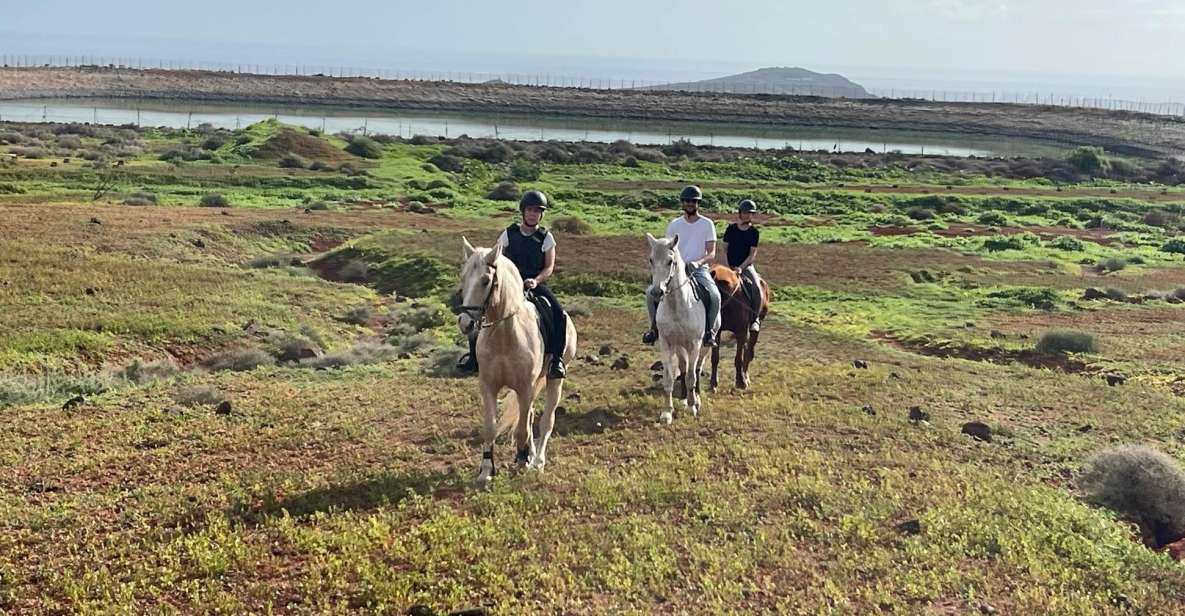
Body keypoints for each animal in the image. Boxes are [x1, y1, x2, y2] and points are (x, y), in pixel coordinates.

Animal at [457, 238, 578, 488]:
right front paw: (486, 471)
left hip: (553, 380)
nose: (465, 323)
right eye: (463, 278)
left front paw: (523, 462)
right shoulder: (489, 387)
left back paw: (537, 460)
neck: (505, 335)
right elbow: (491, 427)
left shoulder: (525, 387)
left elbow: (523, 429)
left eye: (485, 280)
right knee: (530, 417)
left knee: (546, 421)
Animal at [644, 233, 715, 426]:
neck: (678, 305)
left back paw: (695, 399)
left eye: (670, 261)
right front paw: (667, 412)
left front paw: (692, 407)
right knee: (683, 368)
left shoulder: (695, 344)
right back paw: (684, 398)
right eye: (651, 259)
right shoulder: (666, 343)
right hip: (679, 347)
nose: (657, 292)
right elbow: (669, 377)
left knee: (696, 369)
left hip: (703, 347)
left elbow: (692, 376)